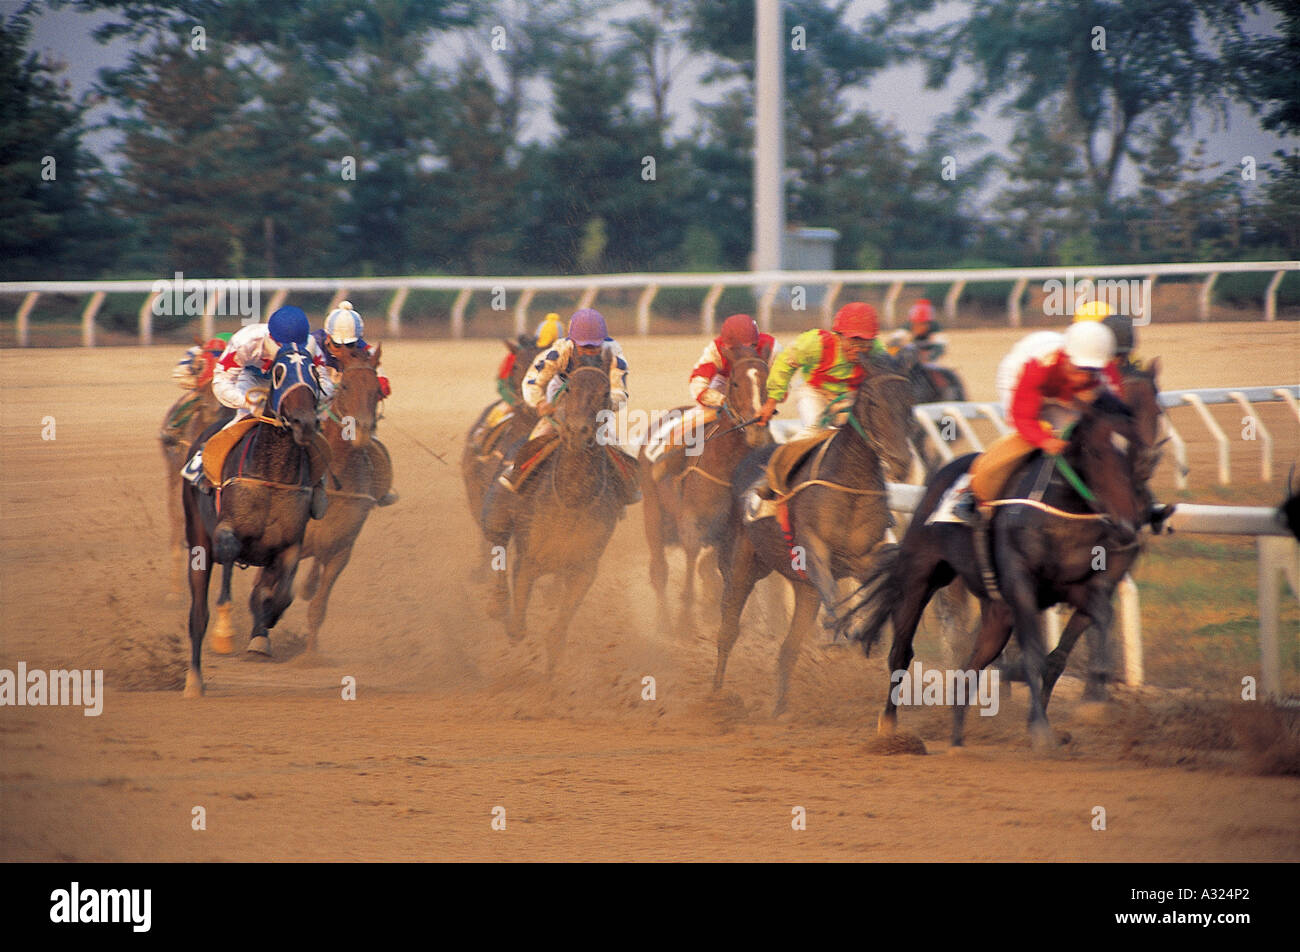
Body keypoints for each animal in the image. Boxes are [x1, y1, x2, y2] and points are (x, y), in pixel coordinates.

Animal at [180, 338, 327, 697]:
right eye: (278, 371)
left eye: (314, 370)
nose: (304, 422)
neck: (272, 474)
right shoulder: (225, 532)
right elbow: (230, 556)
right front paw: (225, 631)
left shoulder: (289, 545)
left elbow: (279, 594)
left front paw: (263, 630)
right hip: (196, 539)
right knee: (197, 614)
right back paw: (194, 681)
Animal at [480, 348, 631, 676]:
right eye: (569, 387)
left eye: (604, 392)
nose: (576, 431)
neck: (572, 499)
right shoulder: (528, 560)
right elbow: (517, 625)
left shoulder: (584, 567)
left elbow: (558, 632)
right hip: (496, 516)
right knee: (497, 546)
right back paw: (496, 603)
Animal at [639, 340, 769, 624]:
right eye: (735, 383)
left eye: (767, 382)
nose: (756, 427)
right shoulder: (691, 517)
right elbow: (691, 553)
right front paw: (685, 619)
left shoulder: (731, 527)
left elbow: (715, 566)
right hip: (653, 510)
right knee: (659, 570)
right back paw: (665, 622)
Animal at [712, 358, 915, 712]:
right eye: (874, 402)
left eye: (909, 404)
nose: (901, 463)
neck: (849, 484)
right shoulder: (814, 550)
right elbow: (833, 594)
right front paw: (841, 634)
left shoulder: (862, 557)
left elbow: (883, 571)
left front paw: (866, 631)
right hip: (742, 565)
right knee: (729, 630)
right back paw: (716, 696)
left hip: (803, 588)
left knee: (788, 649)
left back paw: (780, 710)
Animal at [852, 390, 1149, 749]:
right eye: (1094, 451)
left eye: (1135, 451)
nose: (1128, 525)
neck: (1064, 512)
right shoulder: (1022, 585)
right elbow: (1034, 654)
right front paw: (1040, 728)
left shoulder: (1079, 586)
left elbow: (1092, 625)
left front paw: (1095, 702)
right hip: (919, 576)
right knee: (901, 651)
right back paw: (890, 728)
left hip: (997, 613)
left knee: (970, 668)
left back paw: (956, 741)